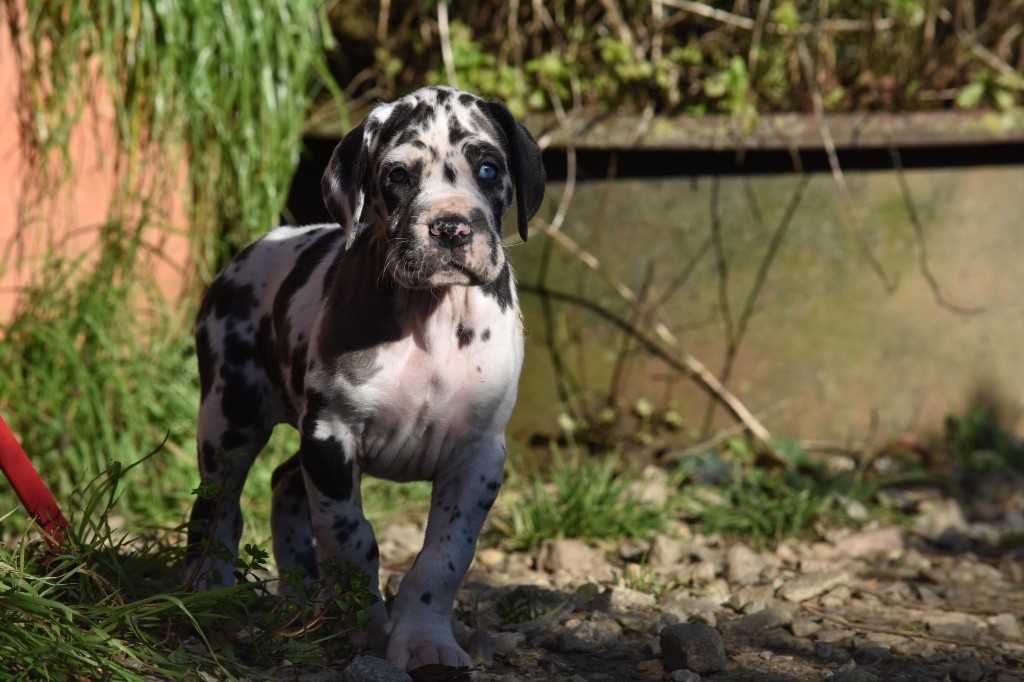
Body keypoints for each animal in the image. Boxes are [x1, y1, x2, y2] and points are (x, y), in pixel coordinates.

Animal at [188, 86, 548, 667]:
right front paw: (360, 622)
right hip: (230, 416)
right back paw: (210, 590)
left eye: (489, 169)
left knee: (284, 481)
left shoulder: (477, 457)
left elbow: (444, 557)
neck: (431, 320)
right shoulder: (331, 438)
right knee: (218, 506)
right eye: (398, 175)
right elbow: (352, 538)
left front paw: (425, 640)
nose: (451, 227)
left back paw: (301, 595)